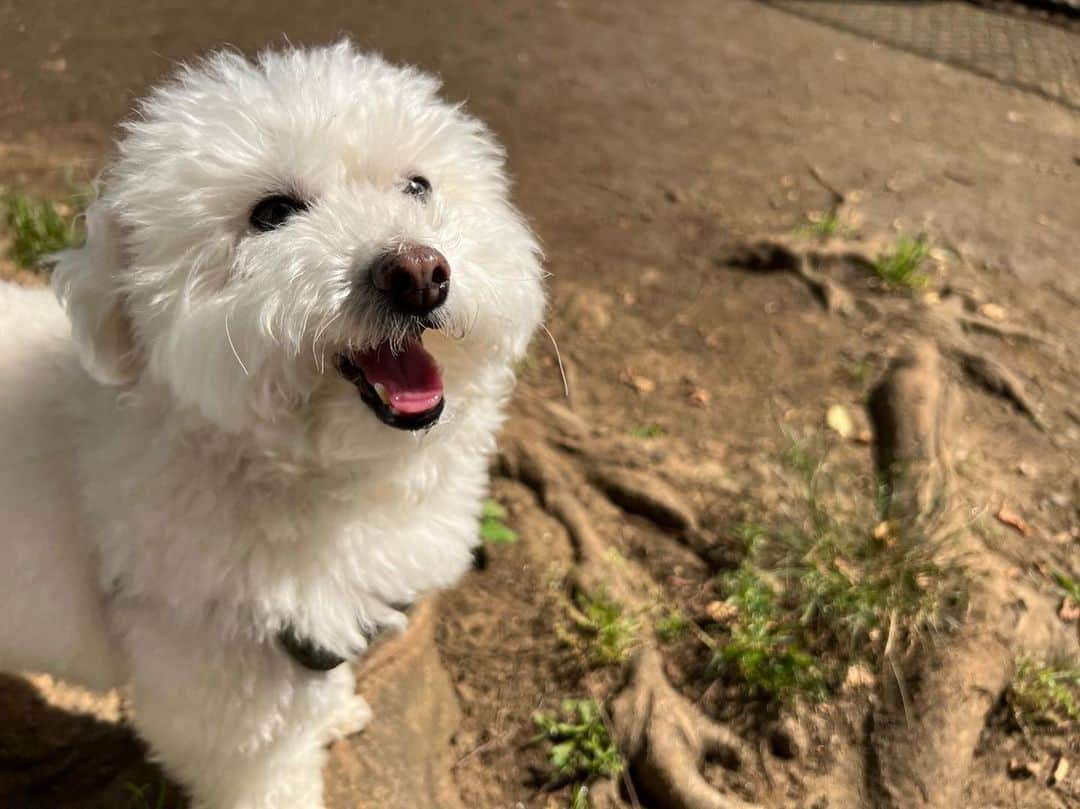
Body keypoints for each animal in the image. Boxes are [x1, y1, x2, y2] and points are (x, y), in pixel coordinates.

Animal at [0, 41, 544, 803]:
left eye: (417, 186)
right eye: (272, 212)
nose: (417, 272)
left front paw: (333, 710)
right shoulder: (220, 690)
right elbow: (266, 771)